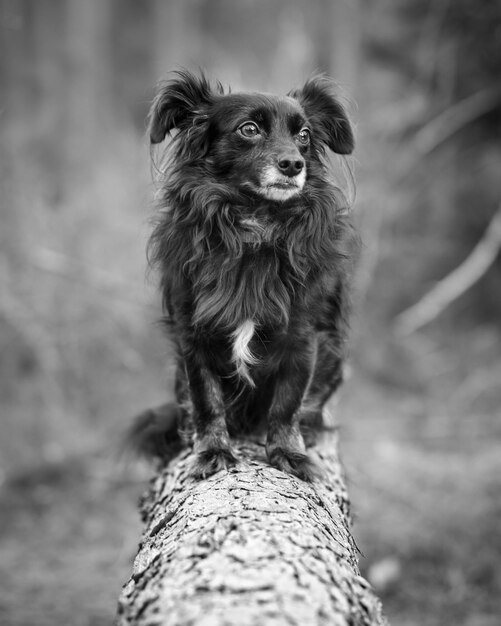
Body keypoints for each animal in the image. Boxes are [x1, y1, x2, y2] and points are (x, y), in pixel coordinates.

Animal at [129, 70, 356, 480]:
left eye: (304, 135)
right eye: (249, 129)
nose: (293, 164)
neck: (256, 225)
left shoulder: (302, 337)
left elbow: (287, 403)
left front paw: (289, 452)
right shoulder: (194, 335)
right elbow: (207, 401)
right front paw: (212, 450)